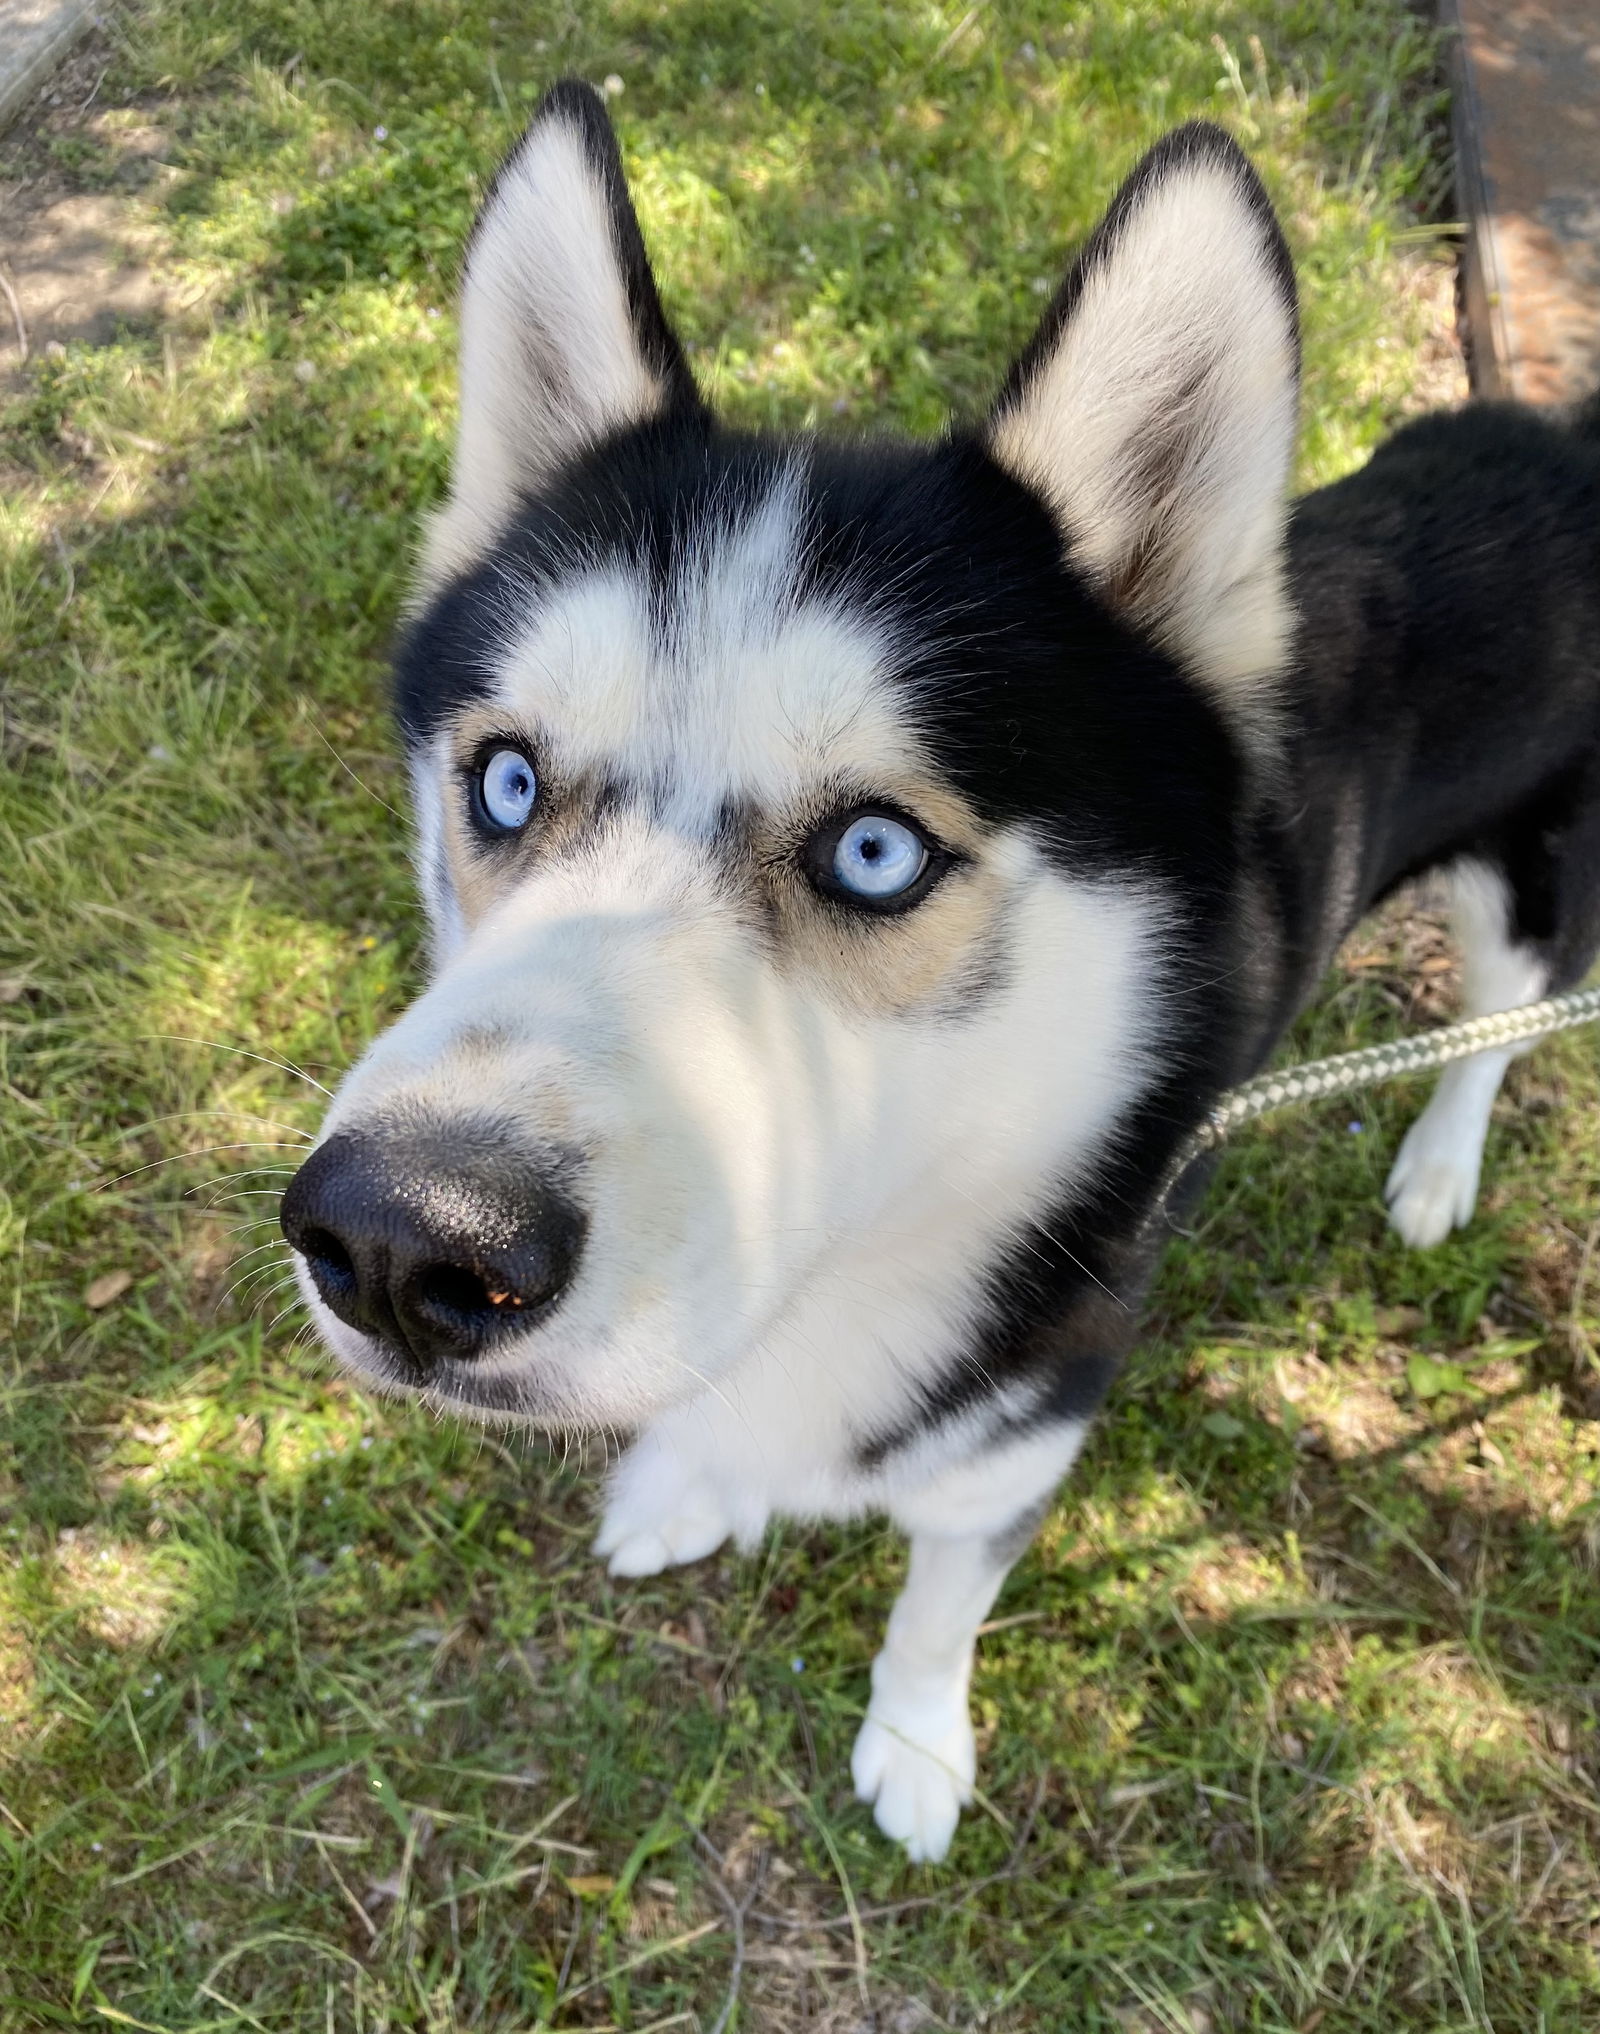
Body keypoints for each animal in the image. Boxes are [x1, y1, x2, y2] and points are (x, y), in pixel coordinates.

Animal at [282, 83, 1600, 1863]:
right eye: (502, 779)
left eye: (874, 852)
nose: (402, 1240)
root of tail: (1564, 440)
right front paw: (693, 1488)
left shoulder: (1020, 1437)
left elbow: (936, 1609)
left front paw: (915, 1741)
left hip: (1528, 898)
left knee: (1491, 1032)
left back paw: (1440, 1166)